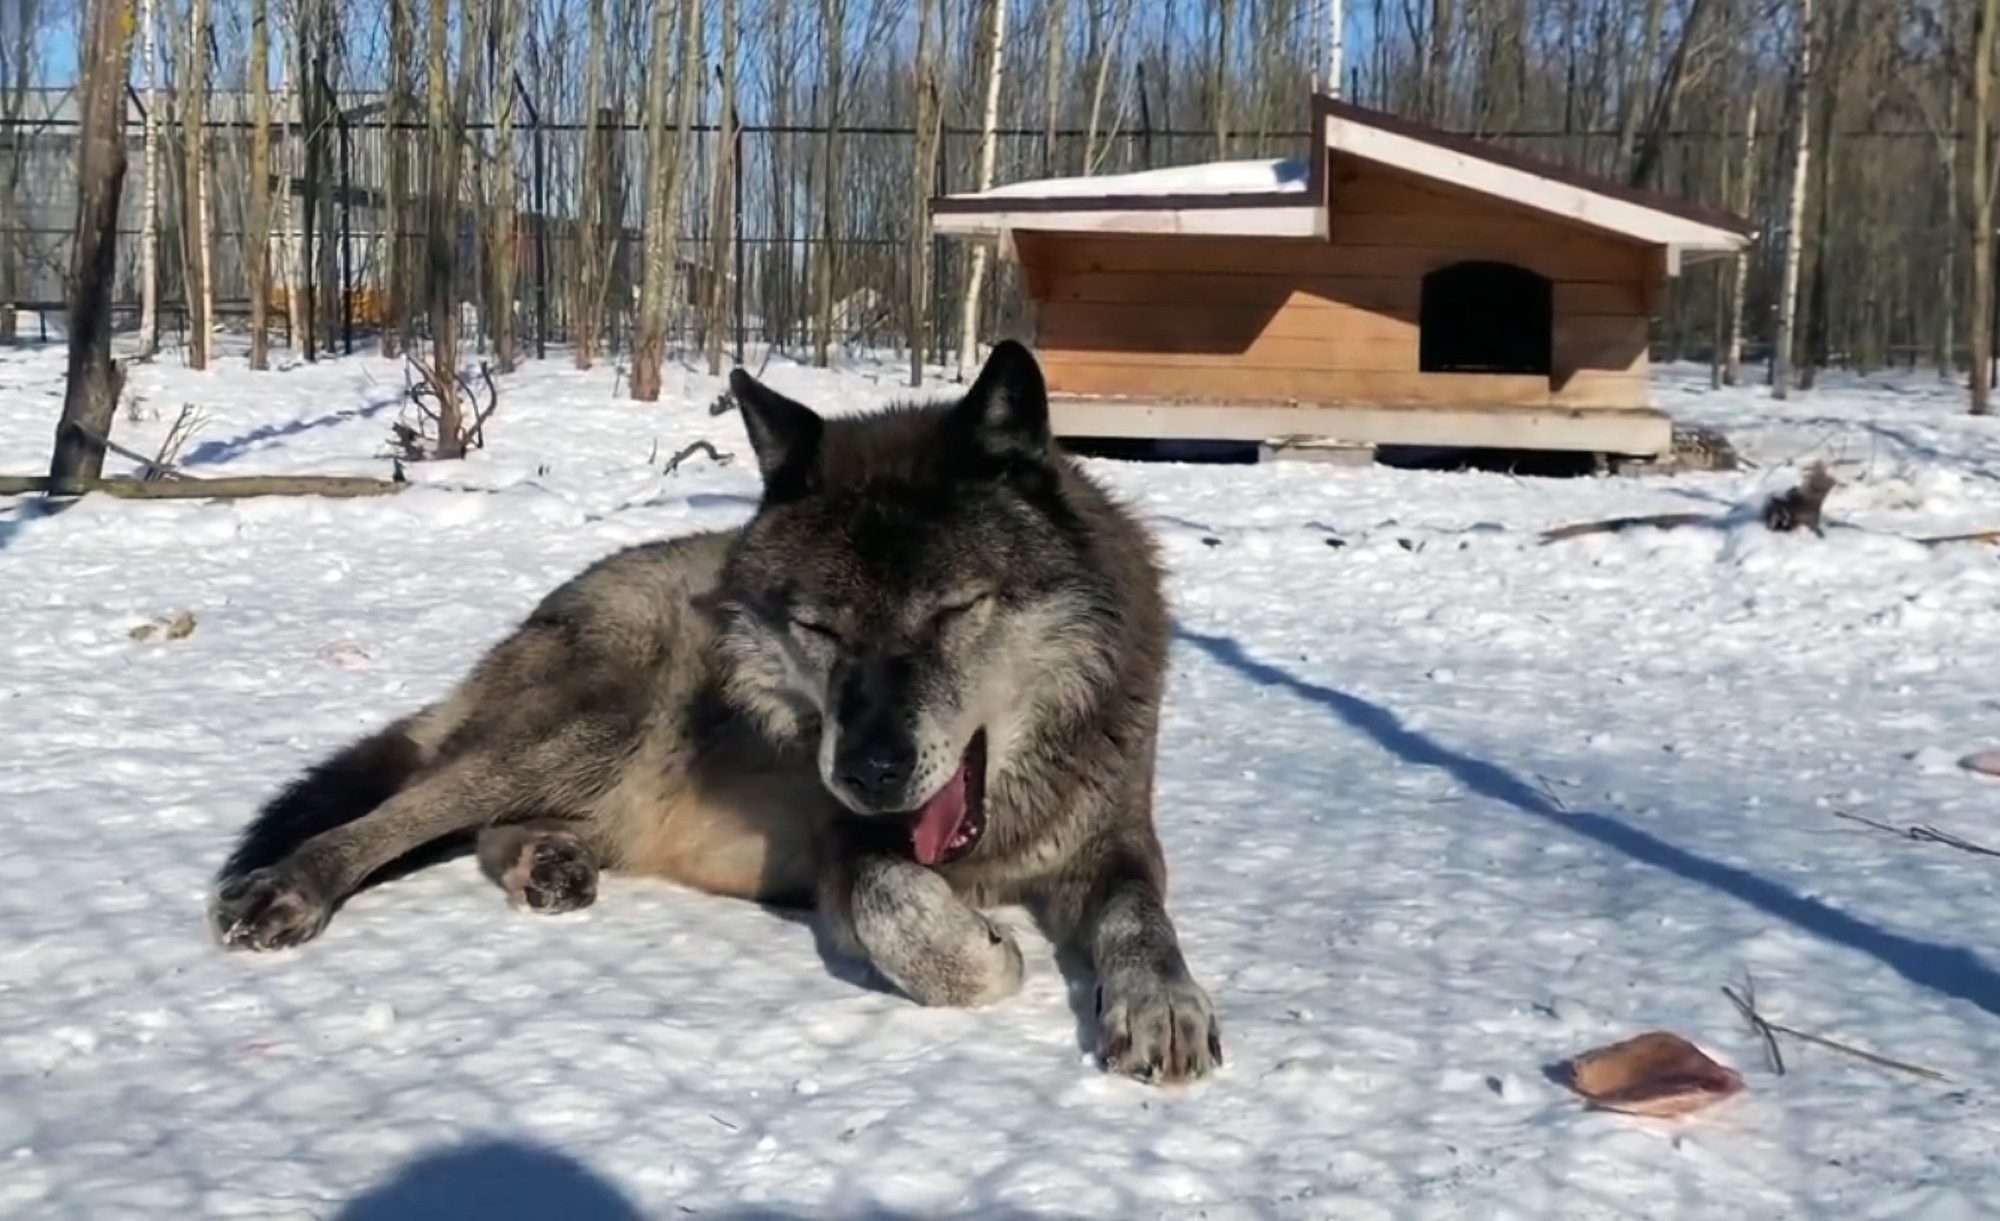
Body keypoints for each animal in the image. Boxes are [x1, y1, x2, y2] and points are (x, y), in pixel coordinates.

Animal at [211, 338, 1224, 1080]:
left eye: (950, 611)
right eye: (818, 627)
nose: (869, 771)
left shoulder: (1118, 840)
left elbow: (1139, 918)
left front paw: (1162, 1002)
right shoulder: (844, 849)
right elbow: (903, 910)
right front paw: (985, 949)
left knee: (492, 829)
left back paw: (547, 862)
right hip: (588, 722)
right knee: (405, 808)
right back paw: (290, 885)